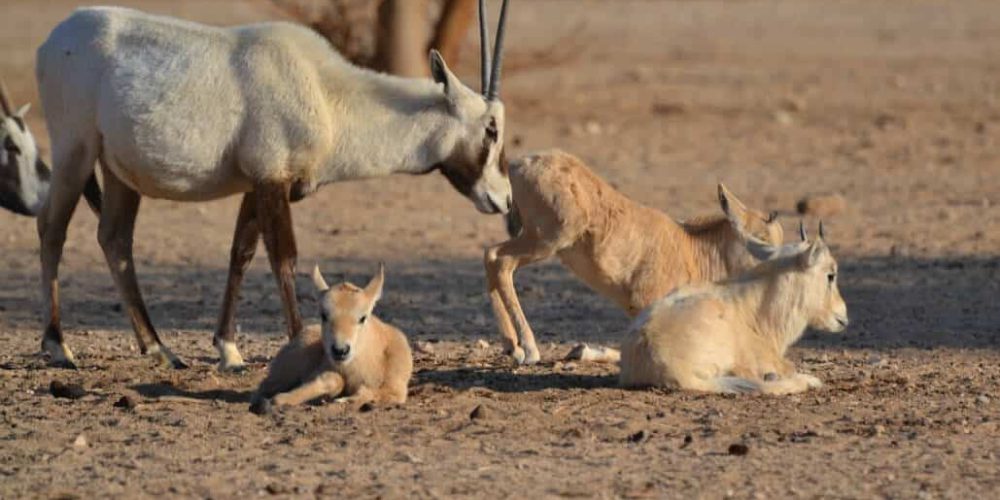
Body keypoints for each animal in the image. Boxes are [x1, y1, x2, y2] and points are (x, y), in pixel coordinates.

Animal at [252, 264, 412, 412]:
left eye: (362, 317)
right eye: (324, 315)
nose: (340, 350)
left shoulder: (396, 391)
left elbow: (369, 392)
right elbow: (334, 380)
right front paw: (281, 399)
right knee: (263, 387)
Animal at [484, 150, 780, 366]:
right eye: (760, 238)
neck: (692, 249)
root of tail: (518, 165)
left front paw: (581, 350)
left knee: (490, 255)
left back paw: (511, 346)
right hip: (547, 240)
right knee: (500, 260)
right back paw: (528, 349)